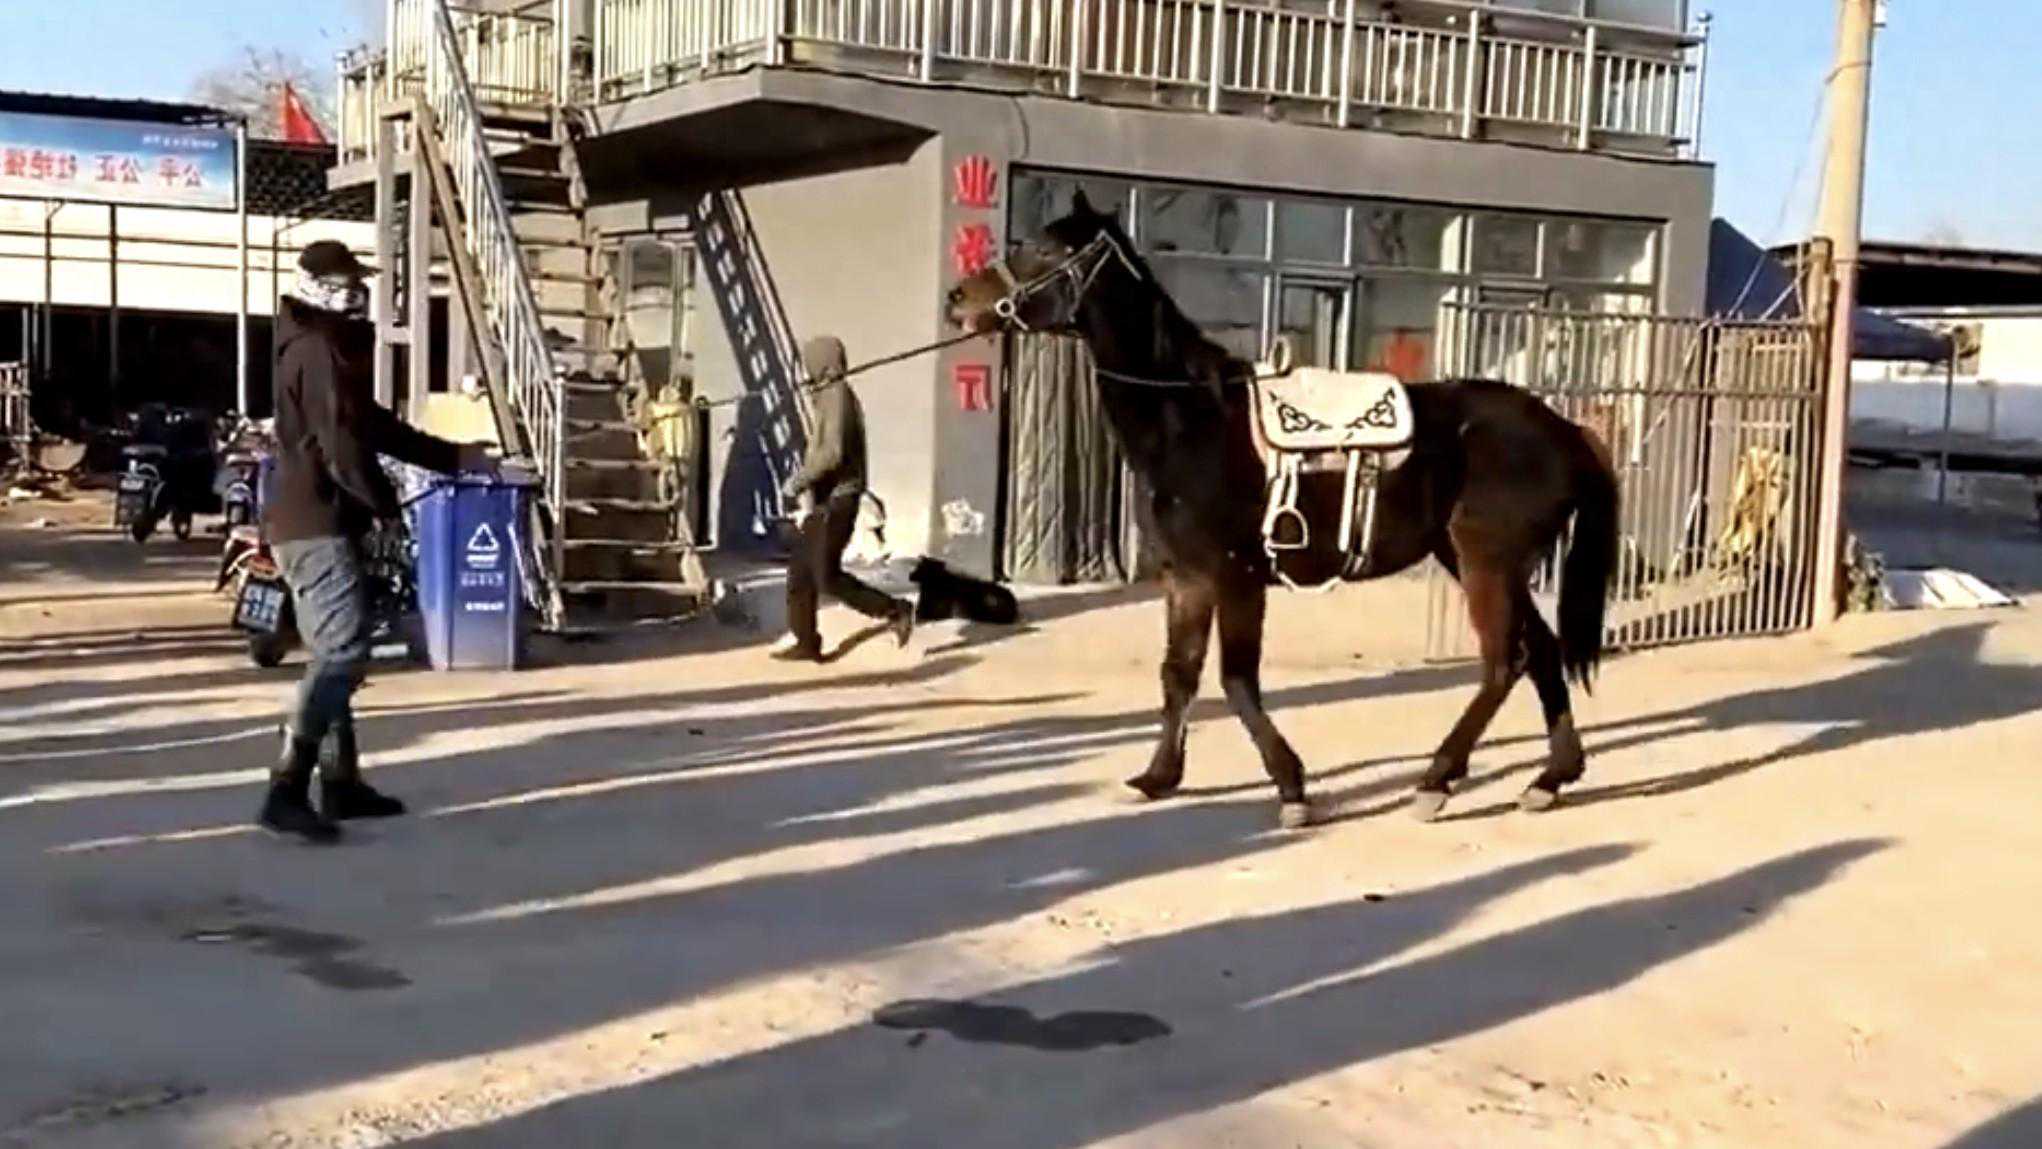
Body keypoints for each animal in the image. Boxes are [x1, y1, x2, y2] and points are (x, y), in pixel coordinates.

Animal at [943, 192, 1620, 829]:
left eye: (1045, 248)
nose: (957, 298)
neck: (1193, 419)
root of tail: (1566, 431)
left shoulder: (1238, 574)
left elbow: (1237, 679)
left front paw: (1292, 790)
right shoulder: (1188, 576)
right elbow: (1179, 673)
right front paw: (1159, 777)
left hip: (1487, 563)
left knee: (1506, 661)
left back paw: (1437, 780)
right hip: (1475, 561)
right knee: (1543, 651)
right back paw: (1550, 778)